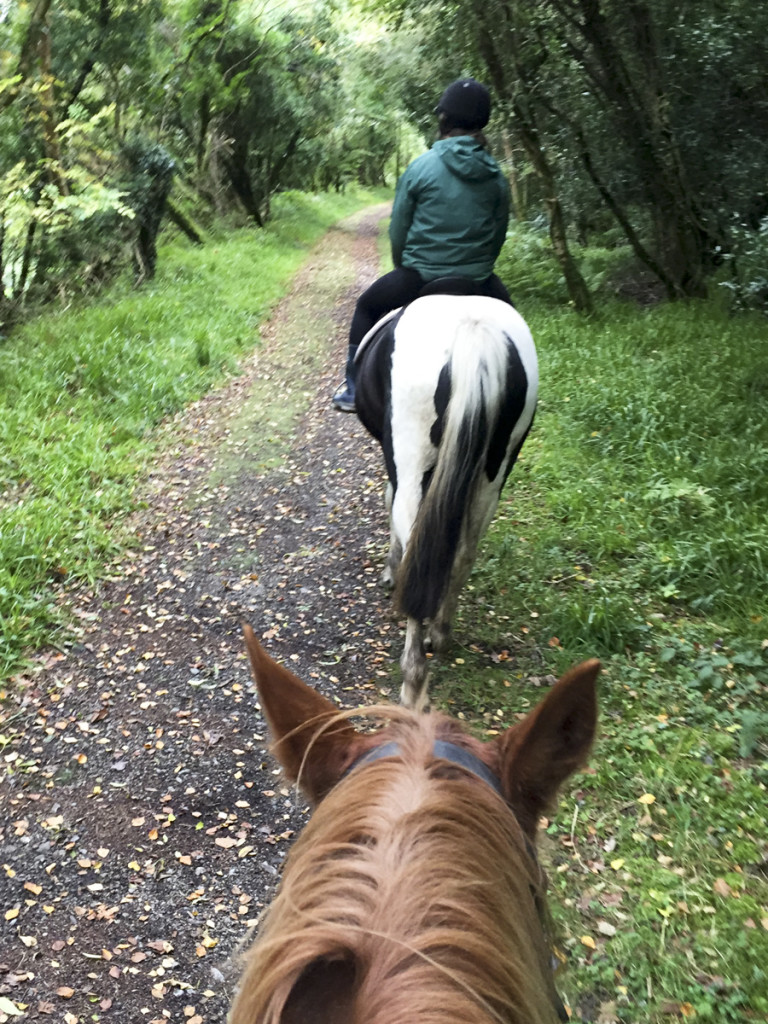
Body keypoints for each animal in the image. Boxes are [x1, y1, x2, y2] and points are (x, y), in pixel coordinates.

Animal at [354, 287, 538, 710]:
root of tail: (474, 331)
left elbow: (389, 507)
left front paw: (389, 574)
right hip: (493, 472)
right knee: (463, 553)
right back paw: (440, 633)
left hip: (412, 457)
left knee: (417, 548)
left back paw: (413, 679)